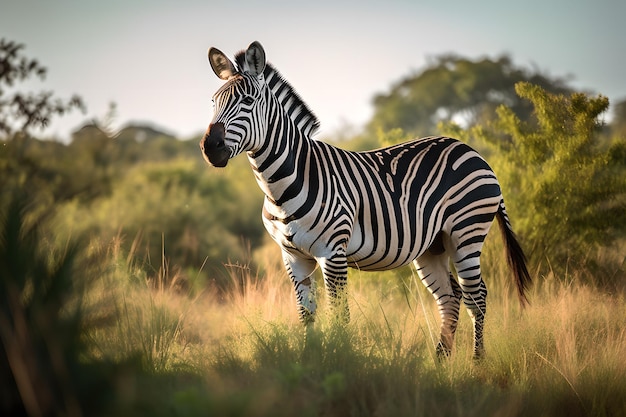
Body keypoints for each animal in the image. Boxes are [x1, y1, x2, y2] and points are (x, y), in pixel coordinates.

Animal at [201, 42, 532, 358]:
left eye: (247, 101)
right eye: (214, 103)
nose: (210, 147)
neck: (282, 183)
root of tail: (472, 151)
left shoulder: (332, 253)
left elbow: (339, 315)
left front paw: (340, 360)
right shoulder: (293, 257)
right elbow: (307, 315)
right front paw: (310, 361)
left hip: (466, 232)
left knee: (477, 297)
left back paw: (477, 363)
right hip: (433, 246)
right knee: (451, 297)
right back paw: (441, 363)